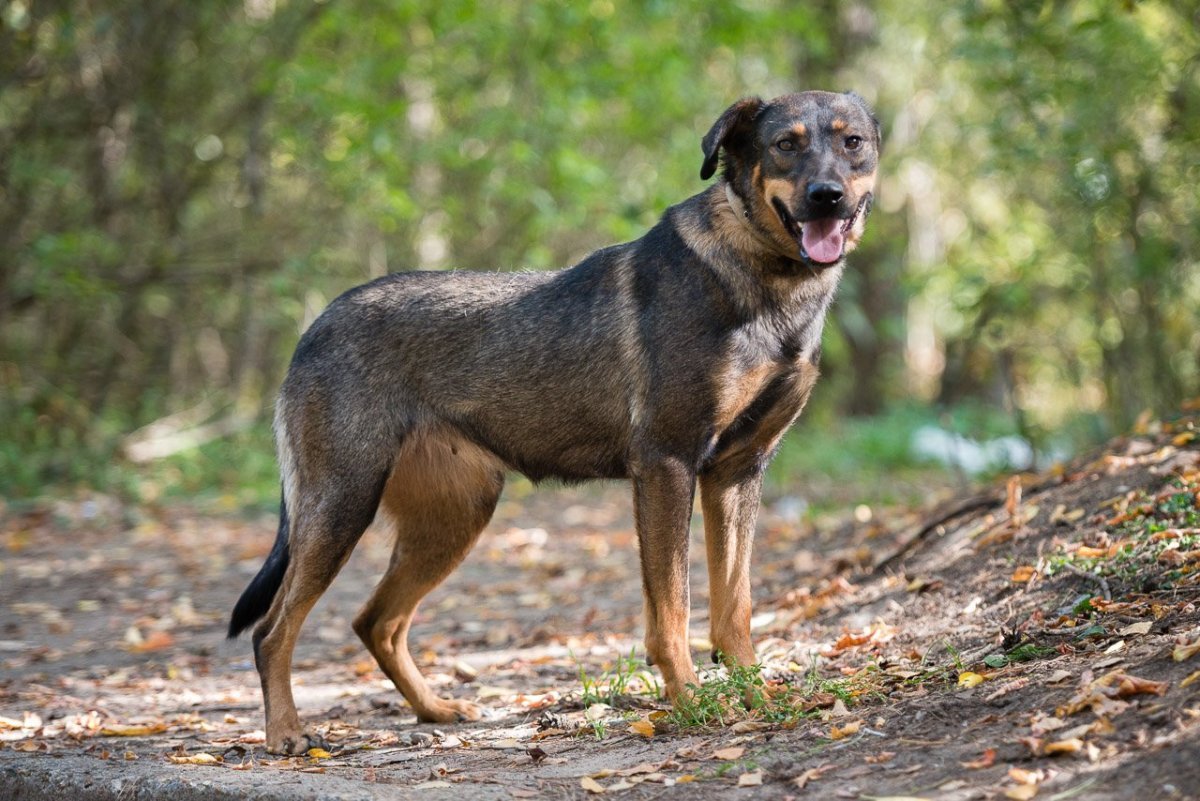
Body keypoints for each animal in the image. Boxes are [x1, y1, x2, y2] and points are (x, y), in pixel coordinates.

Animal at [226, 90, 883, 753]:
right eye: (784, 144)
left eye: (852, 142)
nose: (827, 196)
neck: (767, 279)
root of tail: (314, 327)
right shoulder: (667, 463)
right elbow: (672, 611)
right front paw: (693, 702)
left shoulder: (737, 471)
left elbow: (734, 608)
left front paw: (755, 694)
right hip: (342, 501)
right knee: (272, 630)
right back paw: (287, 734)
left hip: (453, 517)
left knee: (376, 622)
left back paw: (435, 709)